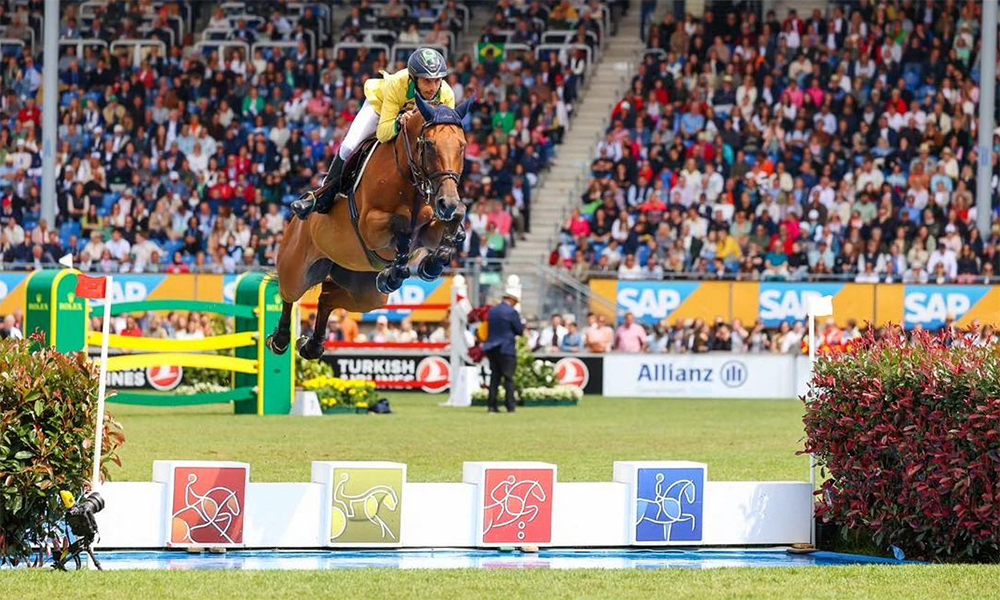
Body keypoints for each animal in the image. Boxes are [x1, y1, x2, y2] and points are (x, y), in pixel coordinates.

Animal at [264, 91, 470, 358]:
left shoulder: (428, 229)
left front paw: (432, 263)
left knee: (327, 296)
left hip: (365, 293)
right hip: (296, 268)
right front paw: (395, 273)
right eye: (429, 145)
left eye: (462, 146)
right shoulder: (369, 226)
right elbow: (402, 226)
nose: (447, 202)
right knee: (289, 293)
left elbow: (453, 220)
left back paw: (311, 346)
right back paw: (279, 340)